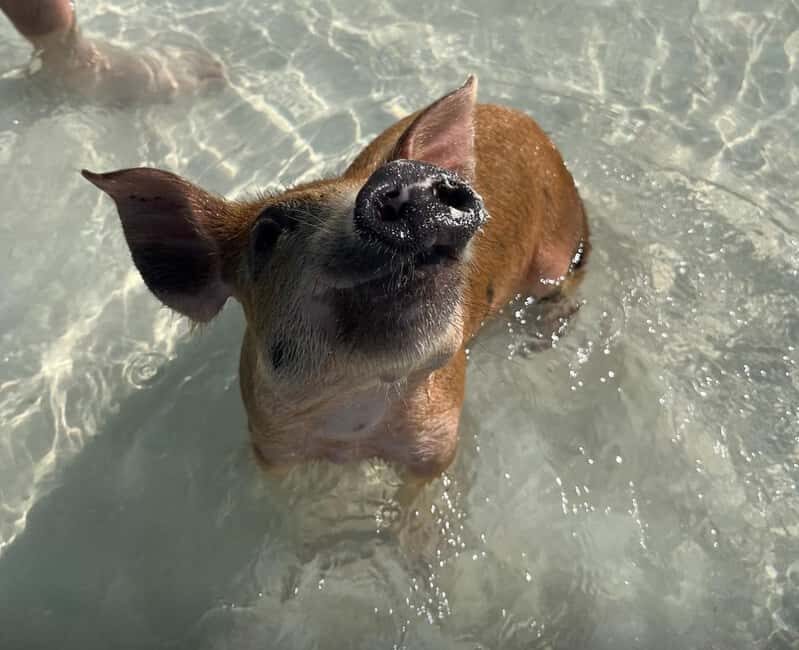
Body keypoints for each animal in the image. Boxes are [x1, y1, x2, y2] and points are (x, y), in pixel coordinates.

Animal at [82, 75, 589, 481]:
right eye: (267, 232)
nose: (408, 176)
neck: (355, 419)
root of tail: (525, 120)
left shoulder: (438, 443)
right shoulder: (270, 445)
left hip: (559, 242)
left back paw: (539, 339)